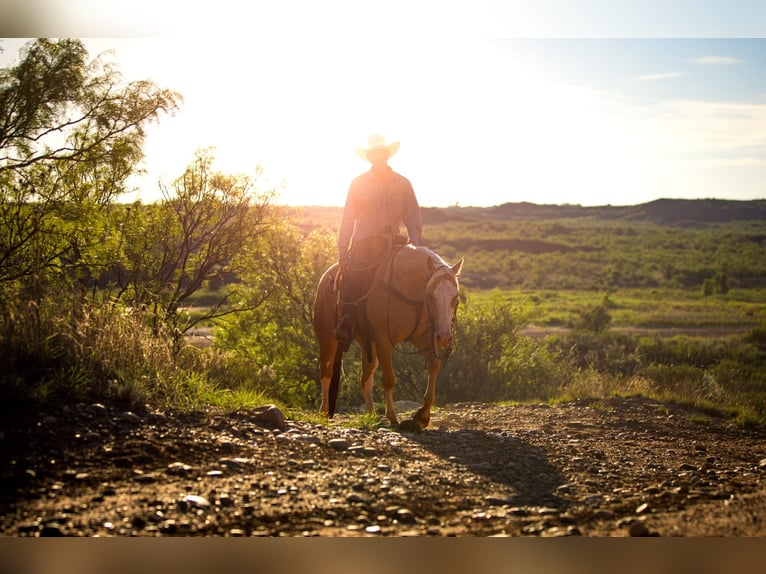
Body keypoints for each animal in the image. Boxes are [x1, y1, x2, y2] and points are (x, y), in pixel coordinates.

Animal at [313, 243, 463, 430]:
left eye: (455, 297)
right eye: (431, 296)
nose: (443, 337)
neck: (406, 288)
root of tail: (325, 278)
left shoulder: (423, 339)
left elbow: (434, 366)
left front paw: (422, 416)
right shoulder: (384, 341)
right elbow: (389, 379)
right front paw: (392, 417)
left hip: (368, 343)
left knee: (366, 378)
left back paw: (371, 415)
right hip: (328, 338)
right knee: (326, 372)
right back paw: (324, 413)